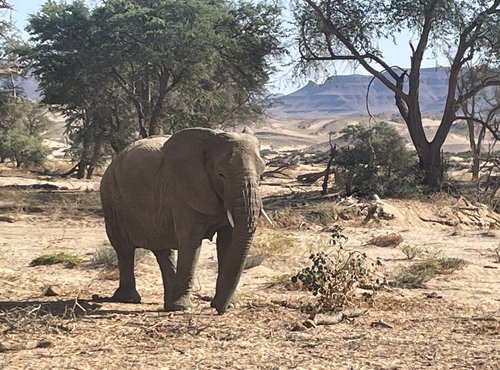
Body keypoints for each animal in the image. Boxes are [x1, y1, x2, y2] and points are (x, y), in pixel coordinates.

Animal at [98, 128, 270, 316]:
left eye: (262, 175)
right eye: (221, 174)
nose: (218, 309)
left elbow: (228, 242)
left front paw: (232, 305)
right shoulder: (182, 192)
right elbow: (191, 242)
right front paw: (183, 308)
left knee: (162, 251)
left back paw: (167, 304)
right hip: (111, 198)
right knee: (124, 249)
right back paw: (130, 299)